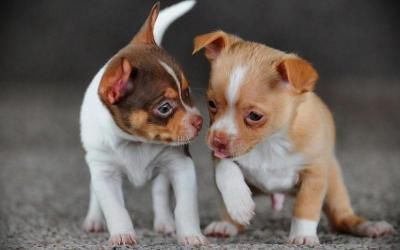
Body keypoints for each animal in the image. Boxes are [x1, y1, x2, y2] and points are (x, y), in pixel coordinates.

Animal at [80, 0, 208, 246]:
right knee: (94, 191)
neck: (134, 141)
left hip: (163, 171)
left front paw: (190, 235)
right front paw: (122, 234)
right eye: (164, 108)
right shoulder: (104, 172)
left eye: (187, 93)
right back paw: (93, 220)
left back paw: (165, 222)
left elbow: (185, 208)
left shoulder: (181, 166)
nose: (199, 122)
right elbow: (115, 207)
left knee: (159, 191)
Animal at [192, 30, 396, 244]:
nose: (217, 140)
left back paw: (370, 226)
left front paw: (303, 235)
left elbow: (305, 207)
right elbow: (226, 168)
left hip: (333, 187)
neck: (270, 142)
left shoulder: (314, 174)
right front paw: (239, 203)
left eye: (255, 116)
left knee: (341, 218)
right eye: (211, 104)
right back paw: (227, 224)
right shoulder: (220, 155)